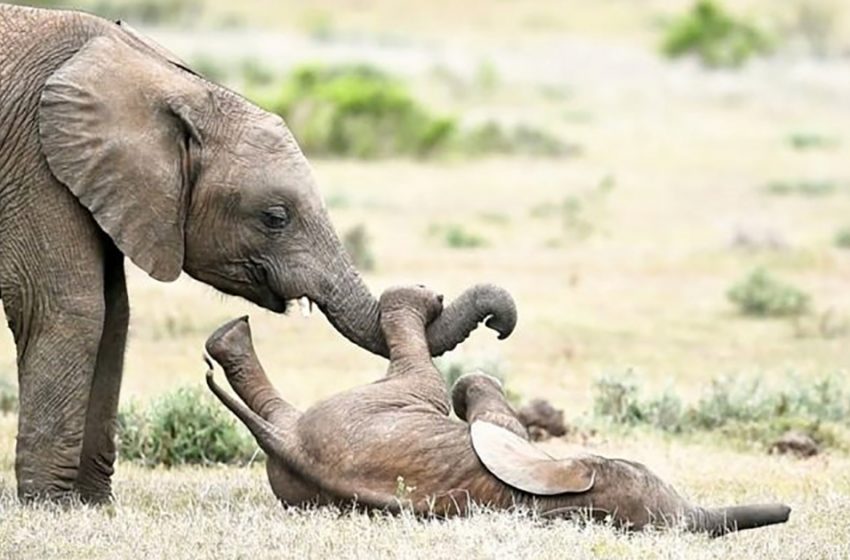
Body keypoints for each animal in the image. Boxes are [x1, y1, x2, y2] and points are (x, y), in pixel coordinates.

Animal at [0, 4, 512, 504]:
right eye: (275, 217)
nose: (496, 322)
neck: (168, 84)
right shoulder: (34, 161)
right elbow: (69, 308)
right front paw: (51, 503)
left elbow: (114, 317)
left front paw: (92, 502)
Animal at [204, 286, 788, 536]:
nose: (783, 510)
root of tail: (287, 444)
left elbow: (479, 392)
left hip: (380, 406)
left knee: (421, 375)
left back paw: (229, 339)